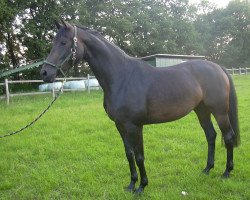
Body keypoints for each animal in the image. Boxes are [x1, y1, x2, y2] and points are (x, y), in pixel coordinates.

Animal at [40, 20, 239, 194]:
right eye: (53, 42)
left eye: (64, 42)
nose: (45, 72)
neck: (122, 77)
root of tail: (218, 67)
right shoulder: (120, 126)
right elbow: (129, 154)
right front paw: (131, 184)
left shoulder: (135, 126)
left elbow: (139, 156)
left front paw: (142, 187)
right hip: (202, 110)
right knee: (211, 135)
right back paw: (207, 169)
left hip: (220, 112)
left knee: (228, 136)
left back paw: (226, 172)